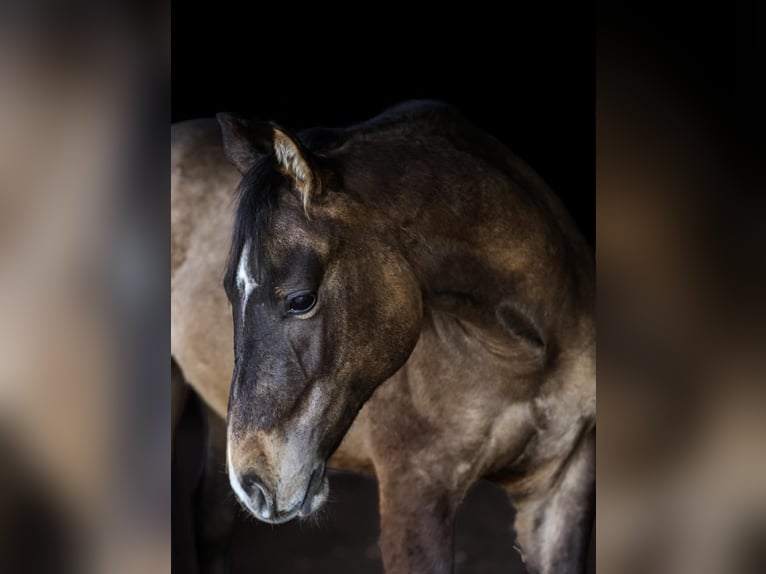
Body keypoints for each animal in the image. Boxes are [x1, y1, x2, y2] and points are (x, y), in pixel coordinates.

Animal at [171, 101, 595, 574]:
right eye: (228, 290)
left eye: (301, 300)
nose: (252, 481)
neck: (525, 355)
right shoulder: (414, 492)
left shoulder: (563, 485)